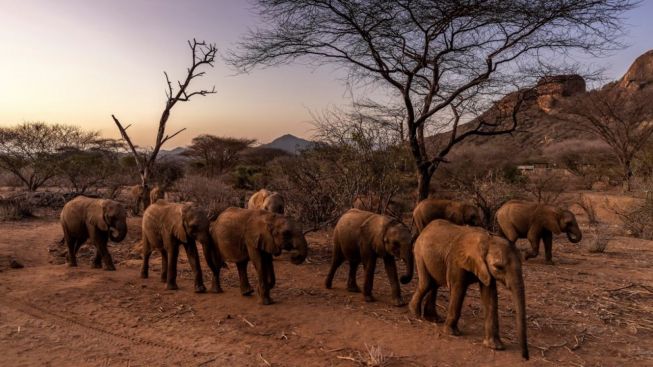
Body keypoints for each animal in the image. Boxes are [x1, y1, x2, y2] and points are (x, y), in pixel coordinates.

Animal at [410, 220, 528, 360]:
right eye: (498, 267)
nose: (525, 357)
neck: (487, 240)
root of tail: (425, 229)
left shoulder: (485, 268)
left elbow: (490, 294)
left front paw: (495, 347)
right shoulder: (457, 261)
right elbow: (459, 289)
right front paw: (452, 333)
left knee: (434, 284)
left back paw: (433, 319)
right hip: (419, 252)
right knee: (426, 283)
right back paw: (416, 314)